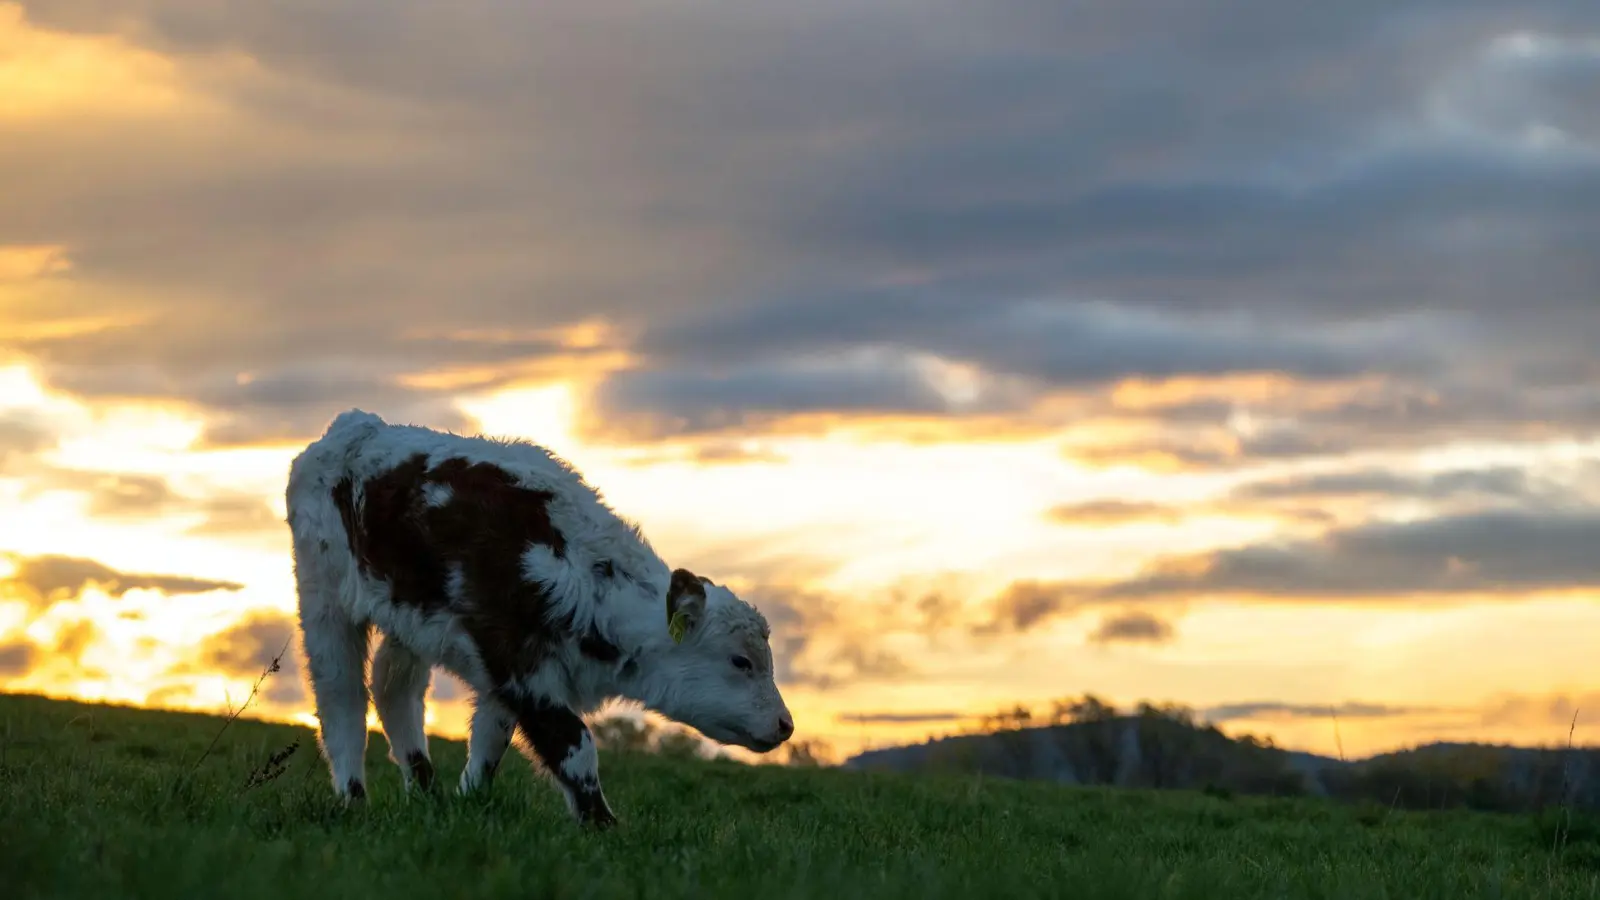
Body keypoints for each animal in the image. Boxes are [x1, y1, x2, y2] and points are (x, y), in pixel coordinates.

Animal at [286, 409, 793, 826]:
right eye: (741, 661)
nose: (786, 725)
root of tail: (354, 425)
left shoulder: (504, 675)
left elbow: (490, 741)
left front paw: (468, 803)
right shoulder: (518, 666)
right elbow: (575, 747)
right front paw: (604, 826)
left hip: (407, 619)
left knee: (395, 688)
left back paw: (426, 793)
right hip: (322, 595)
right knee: (341, 698)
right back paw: (354, 799)